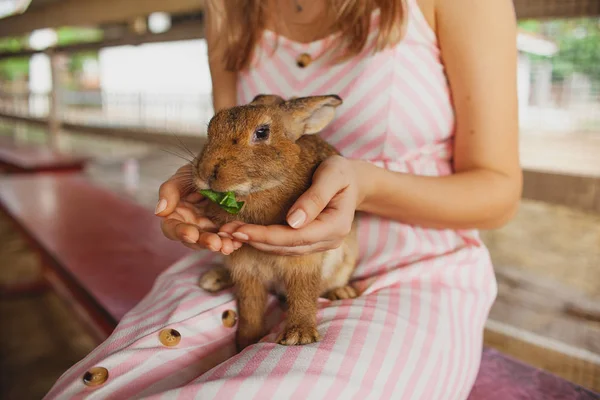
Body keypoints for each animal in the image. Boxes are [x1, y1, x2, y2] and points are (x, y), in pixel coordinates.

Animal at [195, 94, 358, 350]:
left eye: (262, 132)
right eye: (211, 127)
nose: (206, 173)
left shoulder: (303, 258)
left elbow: (302, 291)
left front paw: (299, 336)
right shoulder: (244, 265)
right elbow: (250, 303)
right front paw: (247, 340)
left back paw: (342, 292)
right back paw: (213, 279)